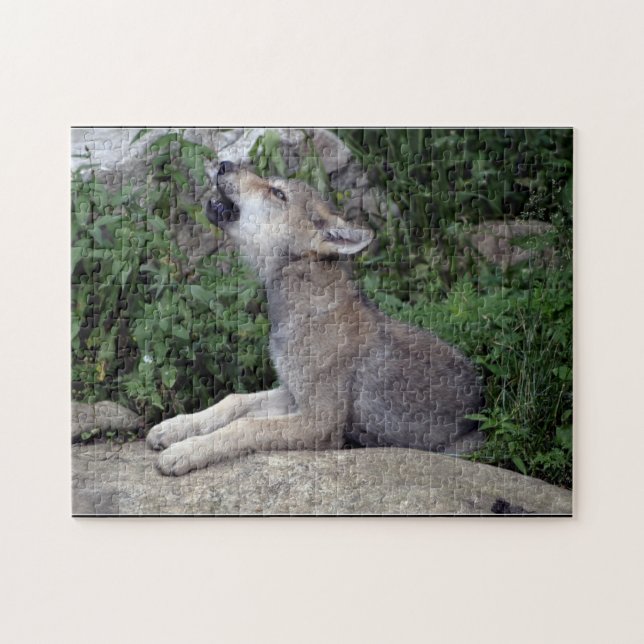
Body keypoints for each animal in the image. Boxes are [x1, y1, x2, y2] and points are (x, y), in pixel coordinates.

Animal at [147, 162, 483, 475]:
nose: (224, 164)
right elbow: (234, 401)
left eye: (278, 194)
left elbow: (246, 425)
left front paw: (186, 451)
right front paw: (174, 428)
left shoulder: (319, 423)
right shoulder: (292, 393)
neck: (304, 311)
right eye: (272, 184)